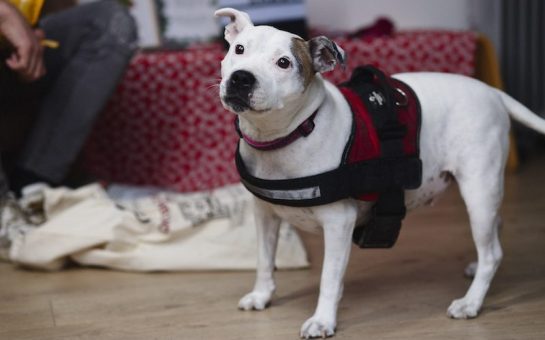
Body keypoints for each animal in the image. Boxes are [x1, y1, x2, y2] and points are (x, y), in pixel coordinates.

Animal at [215, 7, 544, 338]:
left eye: (283, 63)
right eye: (238, 49)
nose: (241, 78)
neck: (291, 134)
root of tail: (492, 92)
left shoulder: (338, 223)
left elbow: (329, 279)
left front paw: (322, 320)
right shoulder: (265, 215)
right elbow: (264, 260)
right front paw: (261, 296)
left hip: (478, 191)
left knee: (492, 253)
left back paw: (471, 302)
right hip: (484, 197)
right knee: (494, 233)